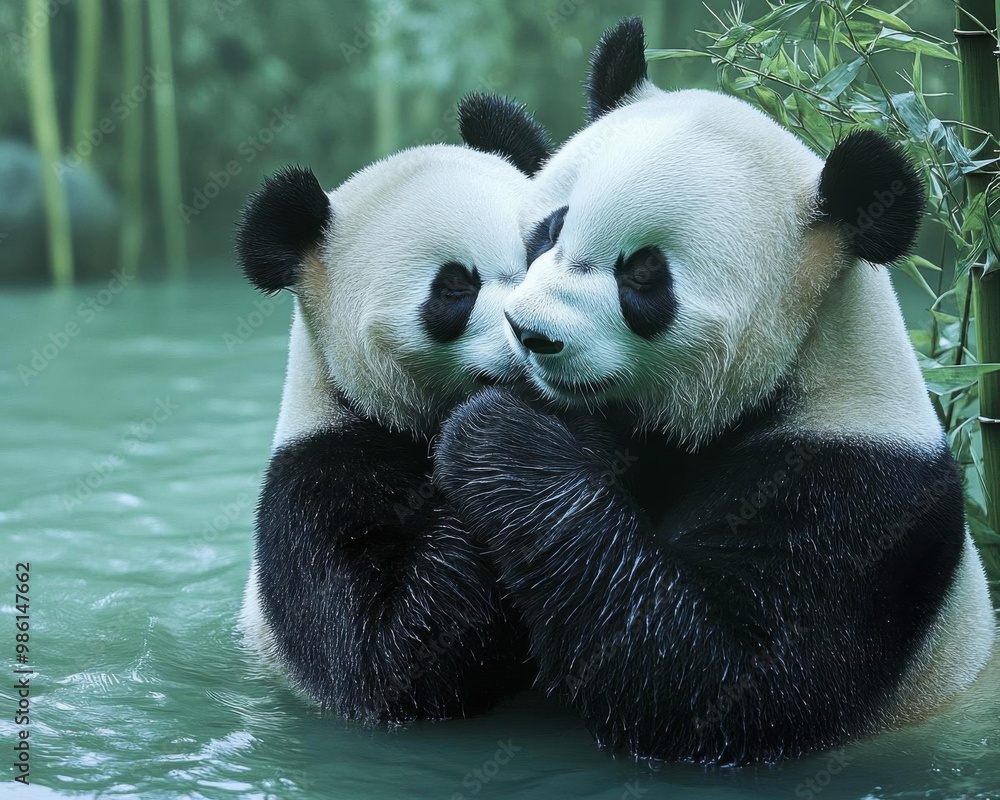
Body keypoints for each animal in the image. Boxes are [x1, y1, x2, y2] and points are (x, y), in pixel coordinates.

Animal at [433, 18, 995, 763]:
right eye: (549, 230)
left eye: (644, 275)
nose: (532, 334)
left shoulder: (856, 504)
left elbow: (718, 685)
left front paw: (499, 434)